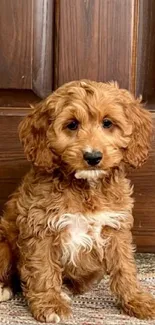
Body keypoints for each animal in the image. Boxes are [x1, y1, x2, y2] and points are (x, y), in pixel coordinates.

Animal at [0, 79, 155, 322]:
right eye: (72, 125)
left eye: (107, 123)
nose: (93, 157)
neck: (86, 186)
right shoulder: (40, 227)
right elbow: (43, 269)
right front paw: (51, 305)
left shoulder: (116, 227)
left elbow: (125, 267)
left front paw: (136, 300)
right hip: (4, 244)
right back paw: (4, 288)